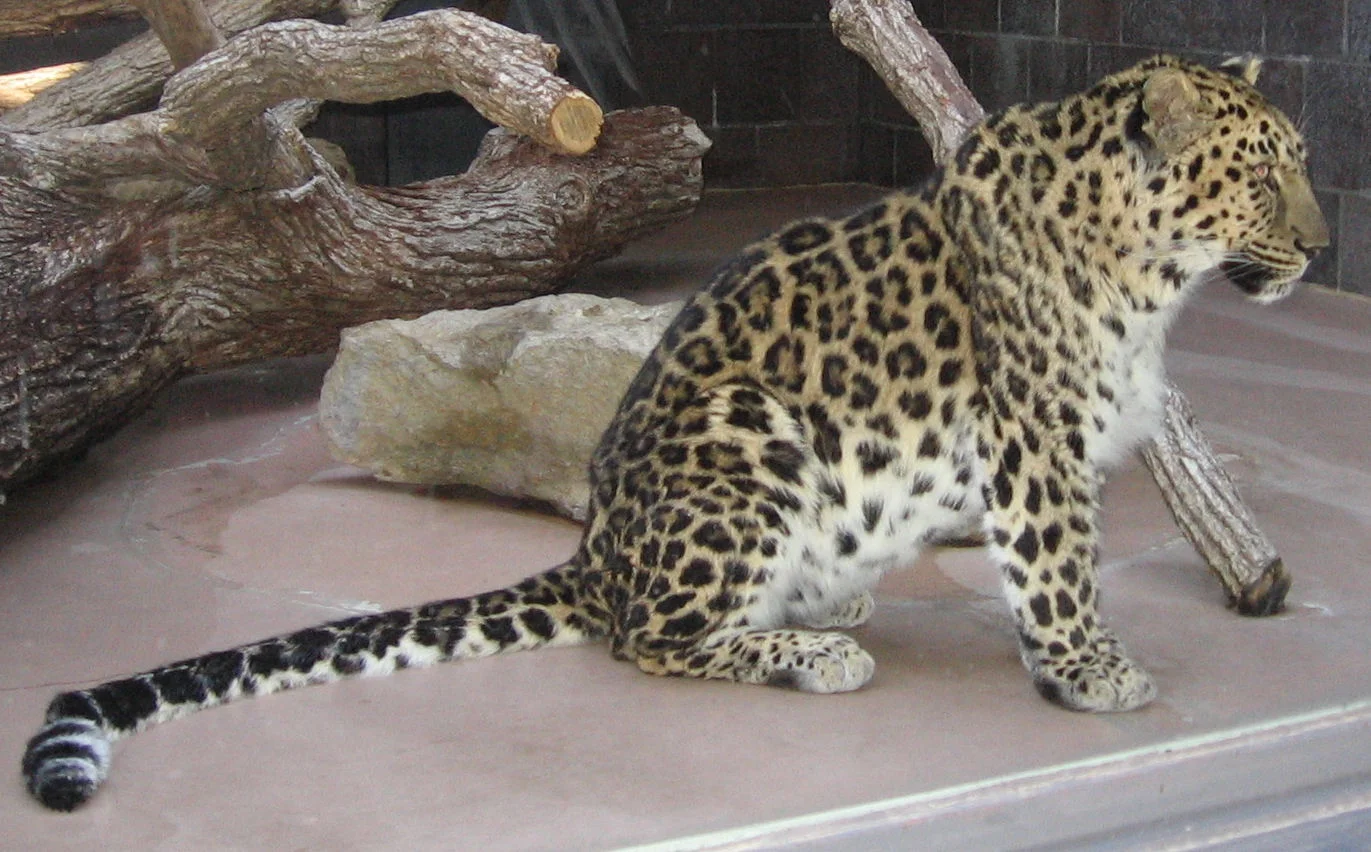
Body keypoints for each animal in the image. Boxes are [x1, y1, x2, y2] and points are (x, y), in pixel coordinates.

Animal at [24, 54, 1328, 811]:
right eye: (1264, 179)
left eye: (1306, 168)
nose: (1321, 249)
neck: (1151, 270)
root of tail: (597, 548)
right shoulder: (1033, 438)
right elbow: (1060, 567)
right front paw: (1093, 673)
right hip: (747, 444)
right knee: (649, 641)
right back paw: (809, 652)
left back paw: (829, 608)